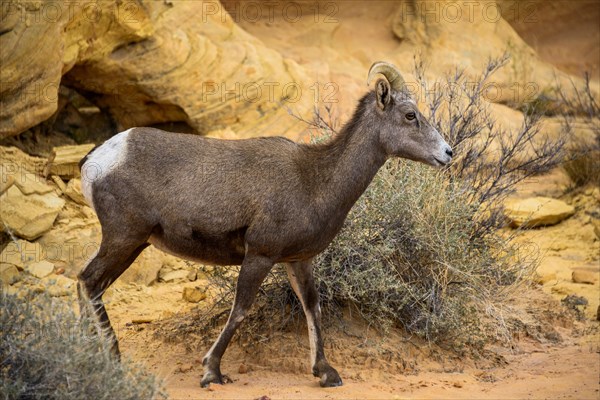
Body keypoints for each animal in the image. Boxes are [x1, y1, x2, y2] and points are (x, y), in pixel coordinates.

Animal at [77, 61, 452, 388]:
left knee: (86, 283)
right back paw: (111, 358)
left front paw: (326, 373)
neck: (315, 180)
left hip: (129, 243)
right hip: (125, 239)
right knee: (90, 282)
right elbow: (241, 309)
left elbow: (312, 307)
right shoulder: (259, 255)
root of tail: (97, 158)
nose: (448, 153)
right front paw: (212, 372)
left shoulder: (297, 260)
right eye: (410, 115)